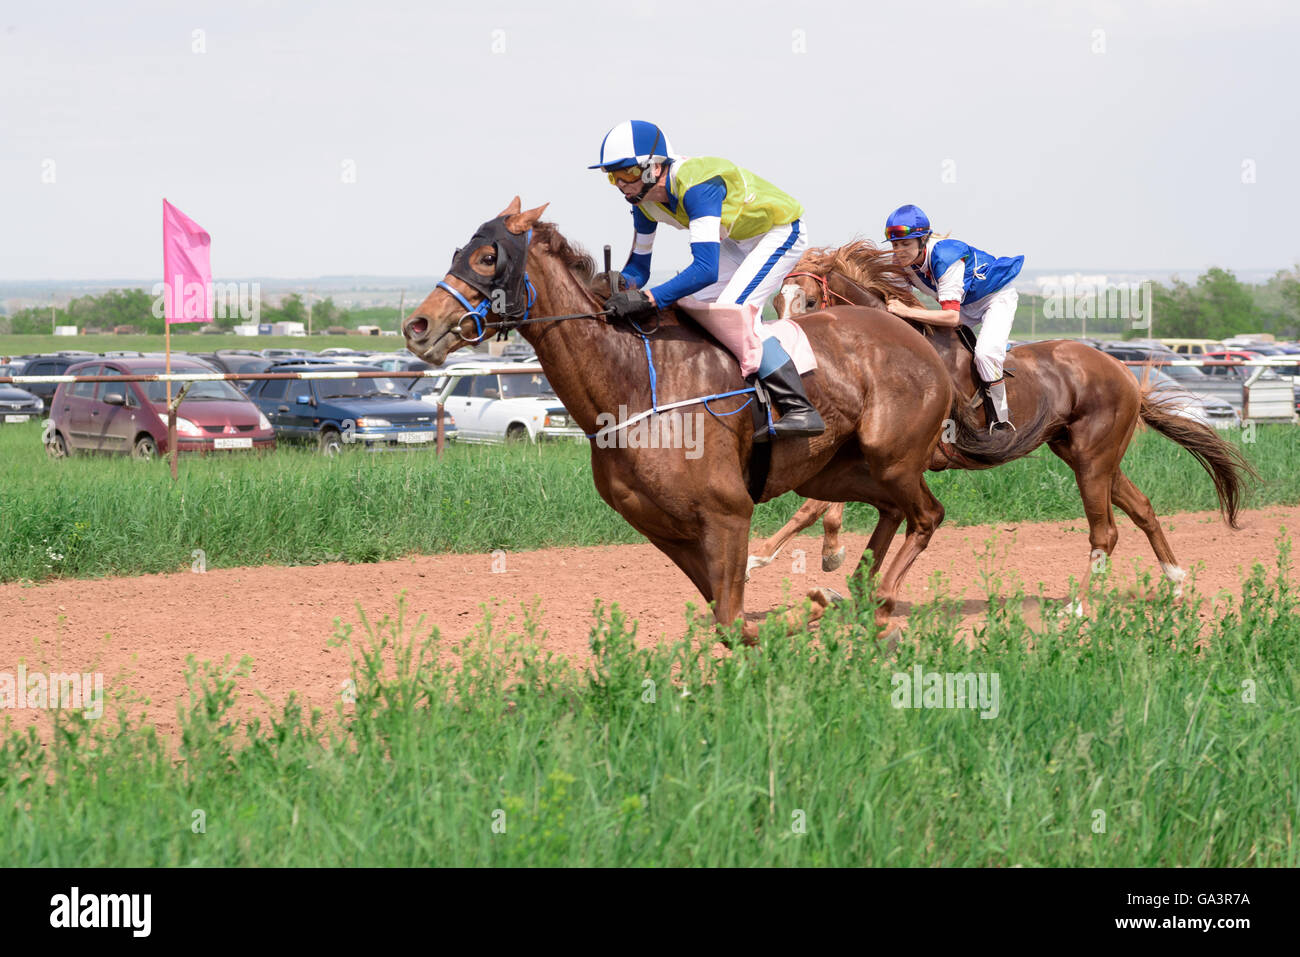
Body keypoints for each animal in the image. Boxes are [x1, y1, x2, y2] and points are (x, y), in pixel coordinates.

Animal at [402, 199, 1040, 644]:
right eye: (458, 253)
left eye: (488, 257)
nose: (417, 325)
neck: (631, 382)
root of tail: (913, 337)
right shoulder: (664, 529)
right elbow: (727, 617)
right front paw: (818, 602)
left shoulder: (727, 513)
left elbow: (733, 618)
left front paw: (811, 604)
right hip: (838, 469)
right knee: (888, 511)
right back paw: (855, 590)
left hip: (892, 454)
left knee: (926, 515)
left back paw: (879, 604)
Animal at [750, 241, 1256, 599]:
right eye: (777, 302)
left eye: (808, 302)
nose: (781, 349)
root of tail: (1123, 374)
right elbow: (820, 504)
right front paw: (775, 557)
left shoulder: (908, 455)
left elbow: (820, 506)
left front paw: (816, 555)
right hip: (1088, 455)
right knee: (1143, 509)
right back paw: (1176, 579)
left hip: (1093, 458)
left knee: (1106, 530)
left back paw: (1077, 608)